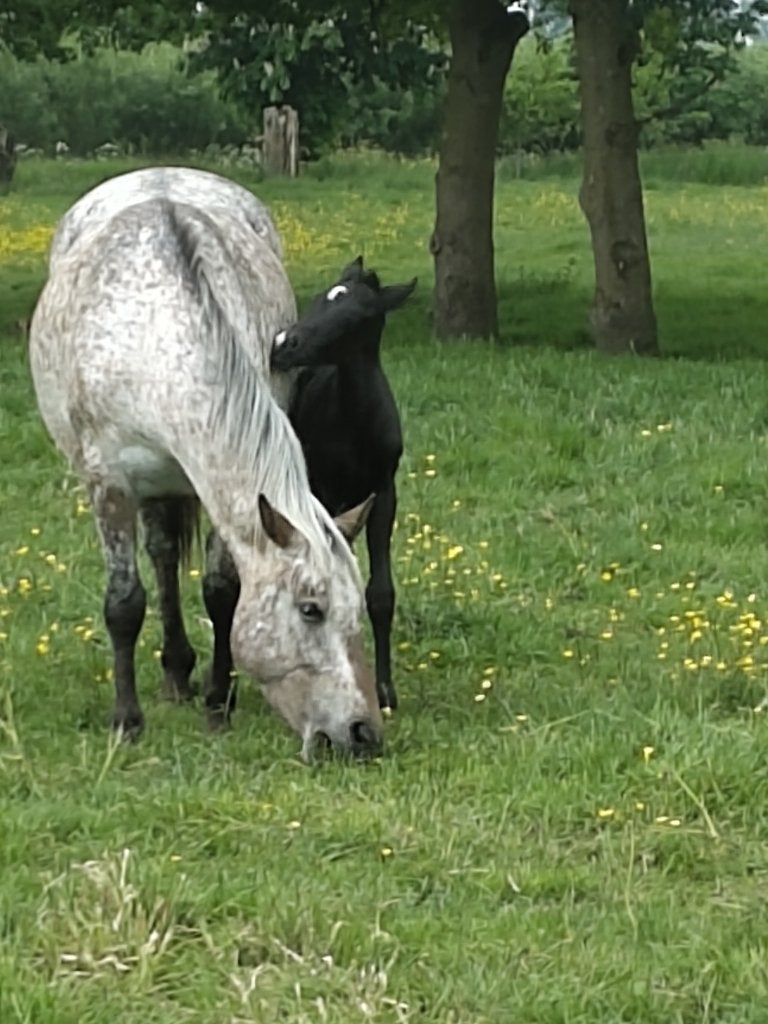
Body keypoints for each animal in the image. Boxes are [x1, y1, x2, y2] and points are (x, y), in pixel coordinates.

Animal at [29, 167, 383, 760]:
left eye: (356, 609)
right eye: (310, 609)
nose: (362, 733)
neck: (155, 341)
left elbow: (222, 591)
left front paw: (219, 705)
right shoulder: (109, 484)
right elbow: (124, 603)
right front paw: (127, 722)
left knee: (166, 554)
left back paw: (181, 669)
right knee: (160, 559)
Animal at [271, 257, 416, 711]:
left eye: (357, 317)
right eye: (323, 297)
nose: (282, 344)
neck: (356, 423)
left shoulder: (383, 494)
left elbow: (380, 593)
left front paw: (384, 690)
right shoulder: (320, 491)